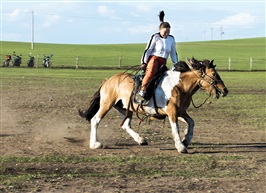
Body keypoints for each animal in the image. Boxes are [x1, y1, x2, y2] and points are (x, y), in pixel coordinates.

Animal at [79, 57, 229, 154]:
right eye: (214, 74)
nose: (225, 90)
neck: (180, 86)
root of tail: (107, 80)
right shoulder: (172, 112)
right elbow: (176, 128)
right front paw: (181, 146)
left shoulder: (180, 112)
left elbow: (191, 123)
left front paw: (186, 140)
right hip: (107, 104)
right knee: (95, 120)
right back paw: (94, 144)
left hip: (125, 108)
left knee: (126, 124)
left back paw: (141, 139)